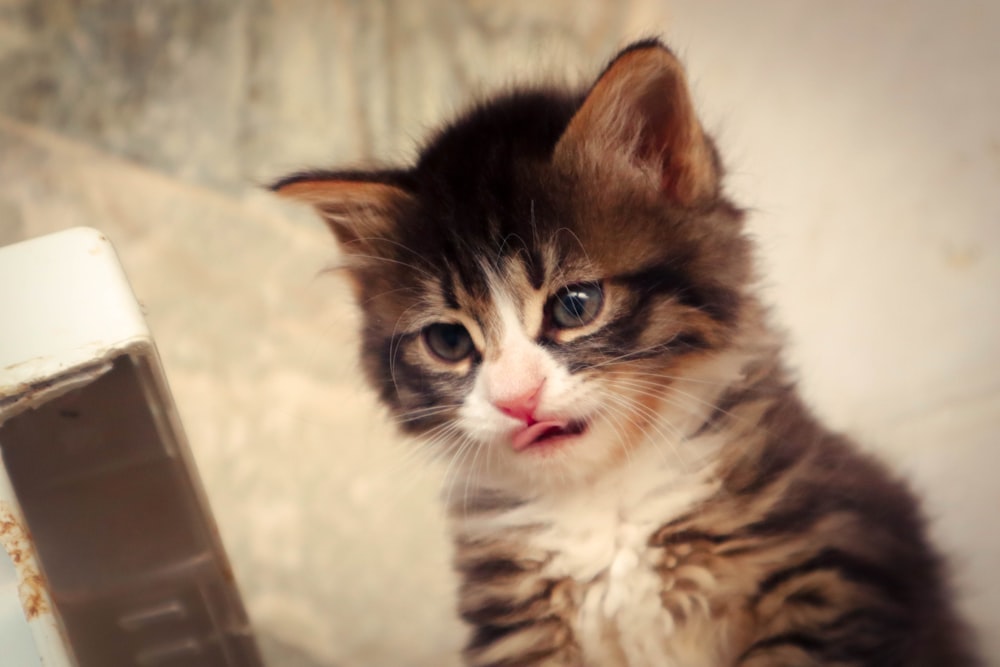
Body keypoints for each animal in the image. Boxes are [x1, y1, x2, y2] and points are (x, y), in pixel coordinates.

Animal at [274, 40, 976, 667]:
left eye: (575, 305)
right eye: (449, 342)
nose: (517, 399)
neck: (604, 502)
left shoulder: (838, 562)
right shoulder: (516, 632)